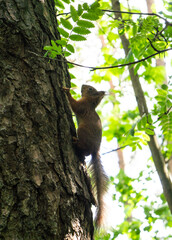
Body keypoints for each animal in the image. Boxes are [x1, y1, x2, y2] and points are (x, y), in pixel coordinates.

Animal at [63, 85, 108, 228]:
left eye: (90, 89)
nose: (83, 85)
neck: (90, 102)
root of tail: (95, 150)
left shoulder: (82, 106)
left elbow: (75, 106)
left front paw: (66, 91)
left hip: (82, 131)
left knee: (84, 150)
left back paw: (75, 142)